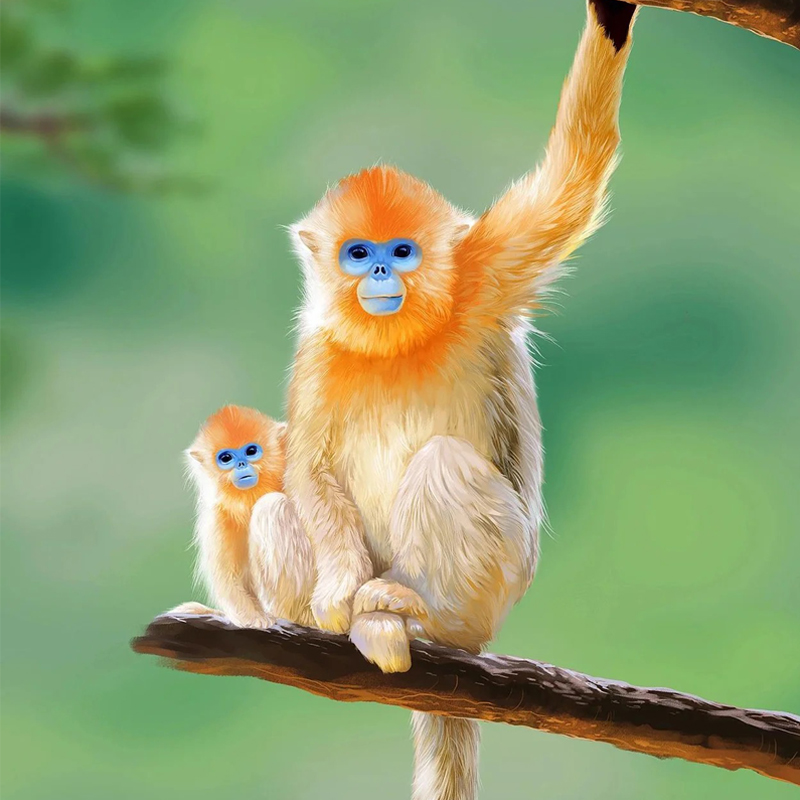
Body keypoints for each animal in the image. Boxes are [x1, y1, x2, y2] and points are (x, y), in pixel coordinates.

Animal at [170, 406, 314, 624]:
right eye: (226, 458)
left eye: (251, 451)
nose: (241, 465)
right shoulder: (218, 517)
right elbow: (227, 578)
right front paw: (255, 620)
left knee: (273, 506)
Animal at [288, 3, 636, 796]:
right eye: (358, 253)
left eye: (403, 251)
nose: (380, 272)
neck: (398, 341)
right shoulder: (318, 356)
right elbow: (309, 469)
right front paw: (335, 597)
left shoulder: (485, 275)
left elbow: (576, 172)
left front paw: (614, 16)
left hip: (501, 581)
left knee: (442, 463)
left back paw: (415, 613)